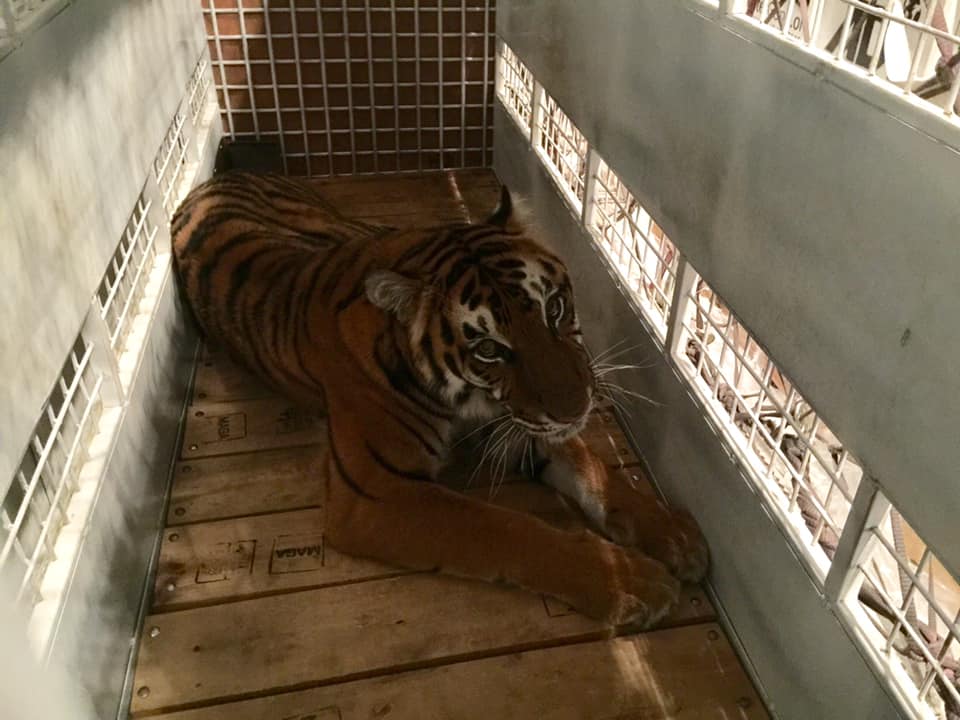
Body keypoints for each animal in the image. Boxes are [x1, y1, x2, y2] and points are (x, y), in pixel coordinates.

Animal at [171, 171, 708, 626]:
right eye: (489, 348)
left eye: (554, 308)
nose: (577, 408)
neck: (467, 398)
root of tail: (218, 178)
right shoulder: (374, 492)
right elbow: (507, 528)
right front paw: (631, 582)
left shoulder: (515, 421)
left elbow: (593, 467)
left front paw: (672, 533)